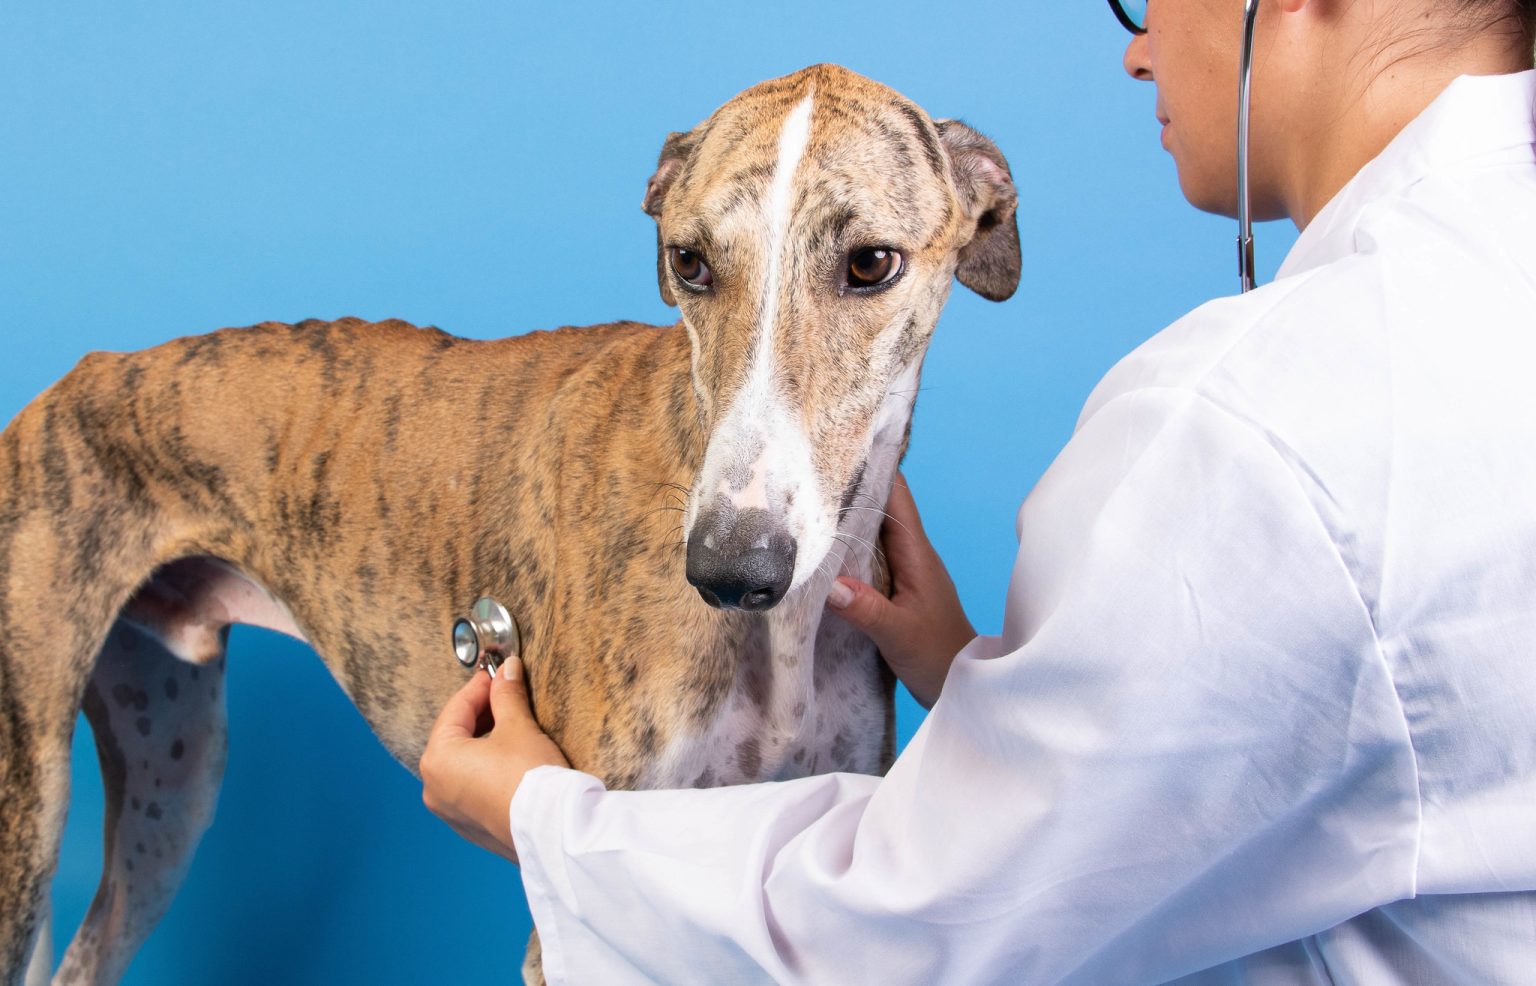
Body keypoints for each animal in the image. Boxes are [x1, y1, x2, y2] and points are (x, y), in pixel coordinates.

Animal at [3, 63, 1019, 982]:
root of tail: (70, 383)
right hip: (34, 806)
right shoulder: (579, 903)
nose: (732, 569)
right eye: (688, 260)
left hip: (173, 775)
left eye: (871, 263)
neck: (782, 637)